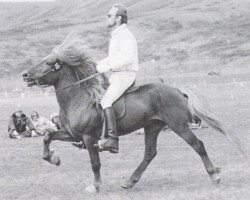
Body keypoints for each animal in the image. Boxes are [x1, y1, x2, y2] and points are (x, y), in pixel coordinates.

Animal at [22, 38, 243, 194]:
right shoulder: (72, 134)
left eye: (49, 63)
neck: (78, 98)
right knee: (150, 153)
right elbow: (47, 136)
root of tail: (177, 90)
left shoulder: (89, 137)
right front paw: (53, 158)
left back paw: (214, 175)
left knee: (198, 145)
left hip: (178, 125)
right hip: (152, 127)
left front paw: (96, 186)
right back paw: (129, 182)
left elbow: (95, 163)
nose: (25, 75)